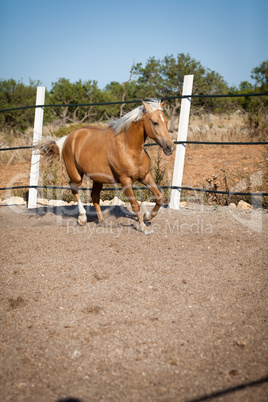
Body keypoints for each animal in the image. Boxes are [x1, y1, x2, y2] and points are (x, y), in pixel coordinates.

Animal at [39, 98, 174, 234]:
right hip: (76, 175)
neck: (130, 148)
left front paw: (148, 217)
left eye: (166, 120)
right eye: (155, 122)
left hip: (98, 179)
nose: (170, 147)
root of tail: (69, 137)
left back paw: (103, 221)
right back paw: (82, 218)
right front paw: (144, 228)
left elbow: (160, 197)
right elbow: (135, 205)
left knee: (94, 196)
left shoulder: (145, 176)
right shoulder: (125, 181)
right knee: (74, 188)